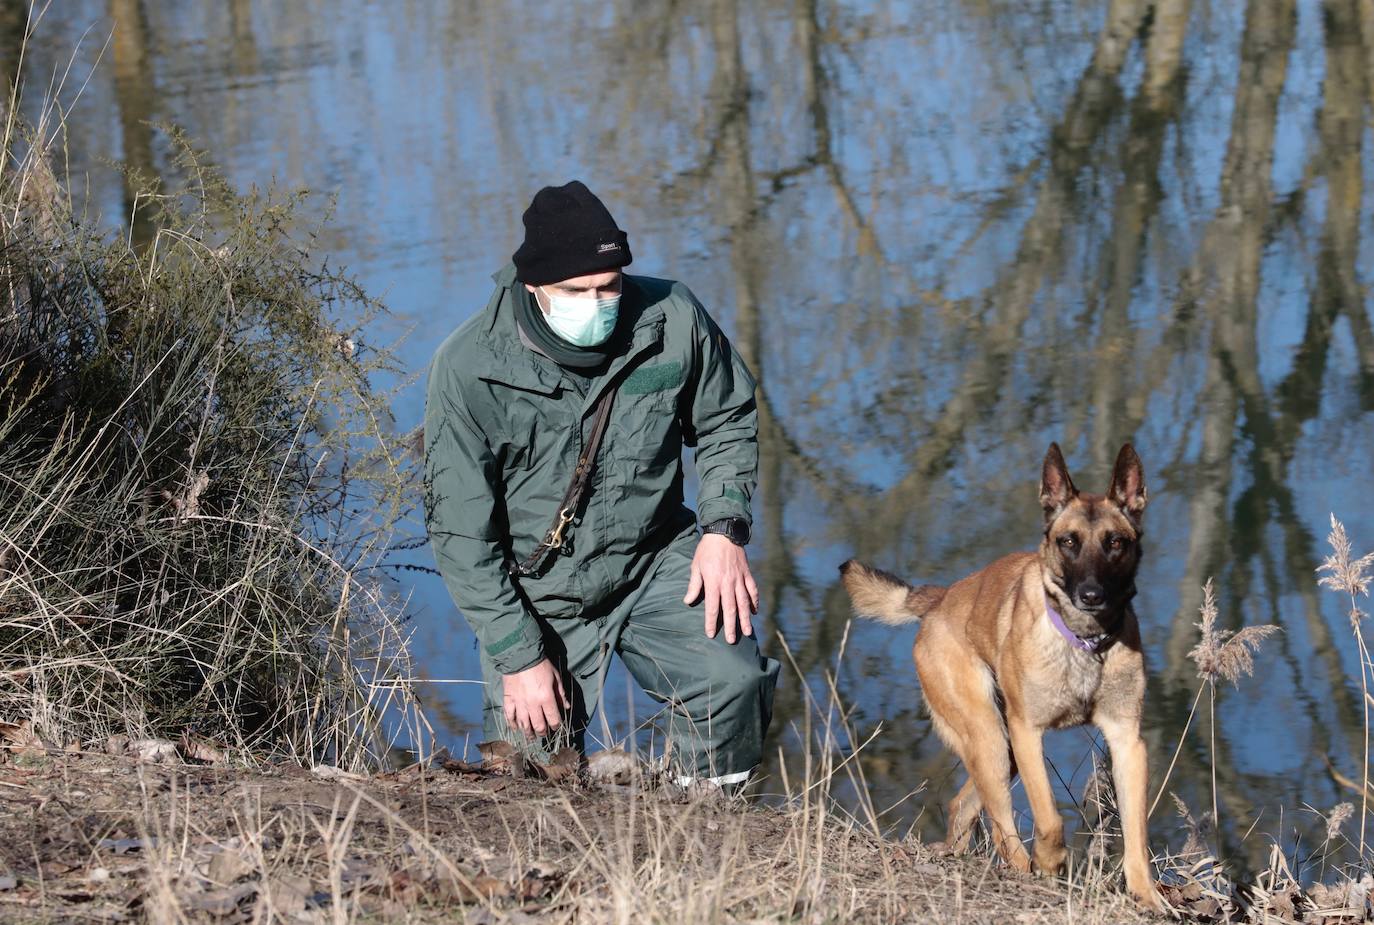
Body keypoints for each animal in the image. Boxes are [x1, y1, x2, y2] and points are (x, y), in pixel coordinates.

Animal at [835, 442, 1159, 907]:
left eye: (1115, 542)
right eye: (1068, 542)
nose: (1091, 595)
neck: (1084, 644)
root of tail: (941, 599)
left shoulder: (1127, 742)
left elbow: (1136, 834)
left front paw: (1147, 896)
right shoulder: (1028, 733)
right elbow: (1049, 819)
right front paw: (1049, 860)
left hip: (1001, 754)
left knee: (966, 807)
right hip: (991, 736)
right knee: (1000, 823)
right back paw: (1024, 870)